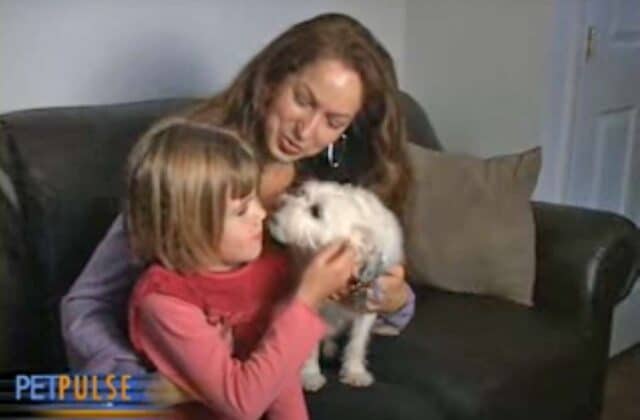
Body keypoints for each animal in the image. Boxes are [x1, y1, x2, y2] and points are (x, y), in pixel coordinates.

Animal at [268, 180, 402, 390]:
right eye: (302, 193)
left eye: (316, 211)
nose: (276, 204)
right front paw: (310, 374)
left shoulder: (367, 307)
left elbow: (357, 342)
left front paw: (355, 371)